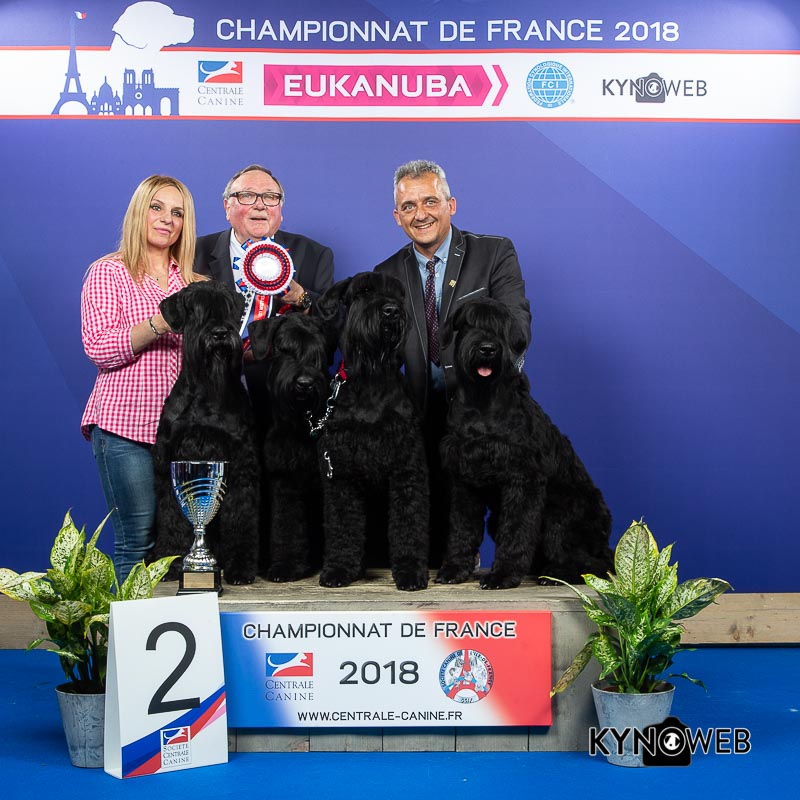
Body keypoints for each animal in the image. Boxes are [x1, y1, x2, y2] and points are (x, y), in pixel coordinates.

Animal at [151, 281, 260, 585]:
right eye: (194, 308)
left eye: (227, 306)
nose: (220, 333)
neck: (207, 391)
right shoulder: (170, 462)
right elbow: (171, 515)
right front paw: (171, 562)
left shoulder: (240, 463)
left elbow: (240, 515)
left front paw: (241, 568)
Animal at [248, 313, 336, 582]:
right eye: (283, 348)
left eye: (318, 352)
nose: (305, 383)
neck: (300, 424)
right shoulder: (284, 479)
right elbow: (286, 524)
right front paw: (286, 566)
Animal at [314, 272, 430, 591]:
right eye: (363, 291)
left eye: (398, 294)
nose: (391, 311)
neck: (370, 377)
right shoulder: (341, 471)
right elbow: (343, 522)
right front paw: (339, 568)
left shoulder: (406, 467)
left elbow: (408, 521)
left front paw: (411, 571)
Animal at [436, 298, 613, 589]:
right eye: (470, 322)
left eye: (501, 326)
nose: (487, 349)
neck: (482, 400)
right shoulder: (464, 478)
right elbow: (462, 527)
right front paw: (454, 568)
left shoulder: (523, 478)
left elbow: (516, 530)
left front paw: (503, 575)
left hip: (559, 516)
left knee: (596, 563)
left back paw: (557, 574)